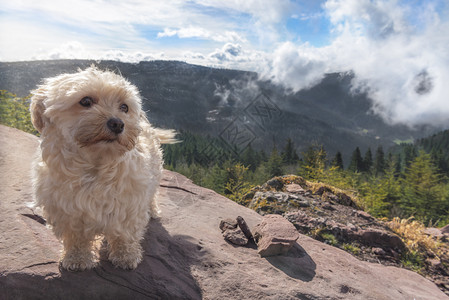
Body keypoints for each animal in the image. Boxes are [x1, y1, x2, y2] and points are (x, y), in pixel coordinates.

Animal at [30, 66, 175, 272]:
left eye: (124, 107)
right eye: (86, 101)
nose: (118, 123)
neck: (95, 166)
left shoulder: (129, 205)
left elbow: (126, 235)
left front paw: (126, 257)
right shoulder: (68, 212)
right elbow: (76, 238)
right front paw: (76, 258)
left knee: (153, 194)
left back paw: (153, 210)